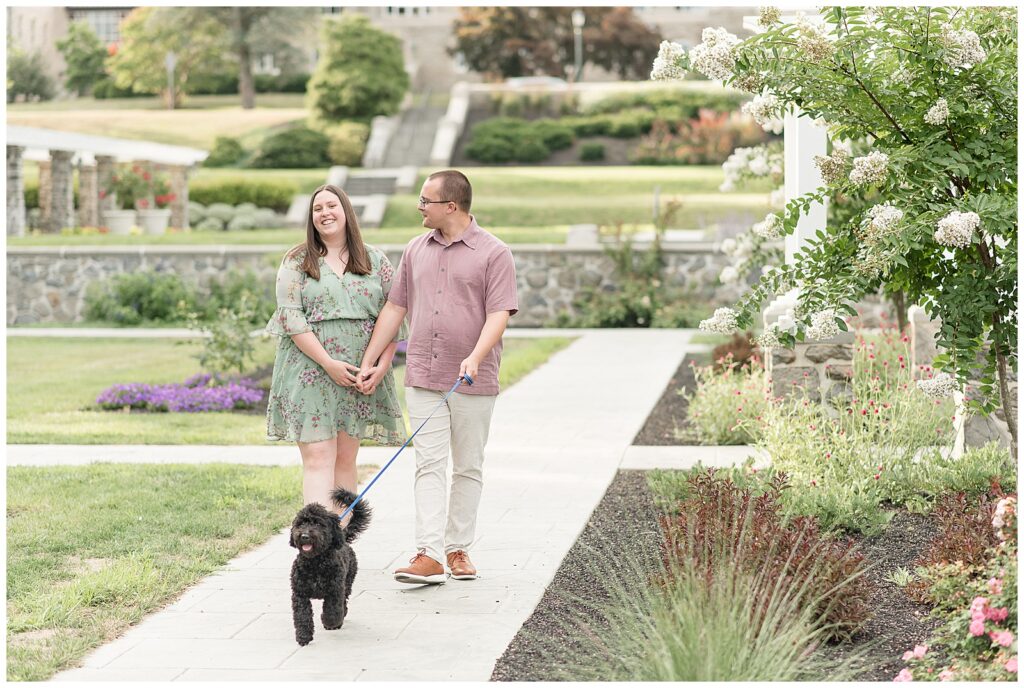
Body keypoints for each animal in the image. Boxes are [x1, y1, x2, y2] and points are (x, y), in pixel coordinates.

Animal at [288, 487, 372, 647]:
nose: (304, 536)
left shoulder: (334, 590)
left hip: (347, 582)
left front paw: (329, 622)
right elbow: (302, 616)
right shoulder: (300, 594)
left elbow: (332, 610)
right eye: (300, 524)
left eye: (318, 524)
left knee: (343, 602)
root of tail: (343, 536)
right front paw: (303, 636)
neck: (315, 563)